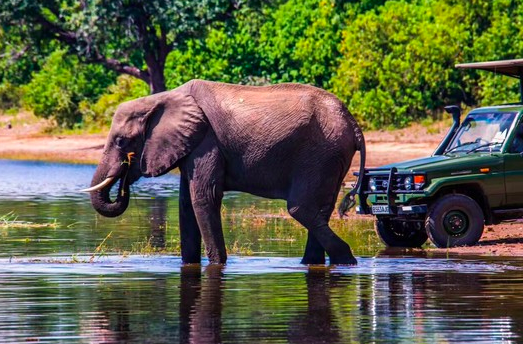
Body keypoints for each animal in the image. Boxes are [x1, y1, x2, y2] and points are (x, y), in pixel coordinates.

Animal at [84, 80, 366, 266]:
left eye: (121, 141)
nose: (124, 180)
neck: (159, 99)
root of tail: (353, 123)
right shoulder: (191, 146)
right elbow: (186, 205)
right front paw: (188, 265)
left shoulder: (206, 141)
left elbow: (204, 198)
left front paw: (218, 265)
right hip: (331, 157)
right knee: (320, 208)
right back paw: (314, 263)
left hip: (320, 154)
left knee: (301, 208)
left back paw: (347, 260)